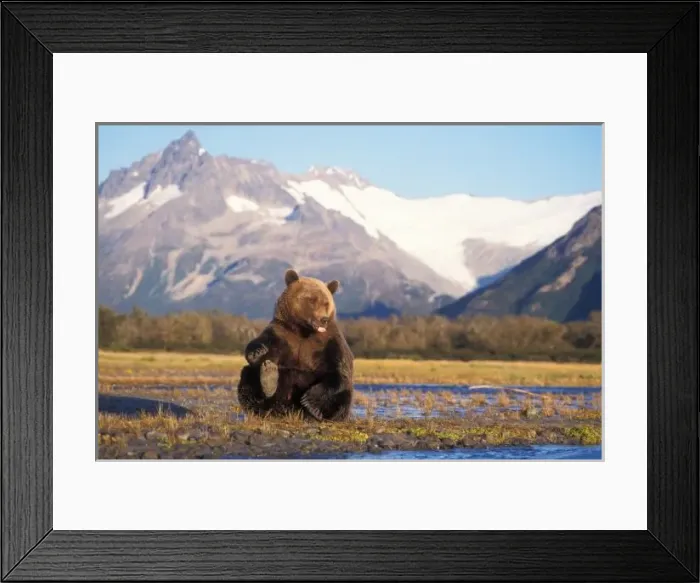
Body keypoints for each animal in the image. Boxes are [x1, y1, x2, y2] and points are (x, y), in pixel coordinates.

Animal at [236, 268, 355, 422]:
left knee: (343, 395)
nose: (323, 319)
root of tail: (290, 410)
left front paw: (310, 401)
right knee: (248, 377)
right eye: (311, 300)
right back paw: (268, 383)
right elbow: (262, 345)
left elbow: (339, 370)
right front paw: (258, 352)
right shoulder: (282, 333)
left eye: (326, 303)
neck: (302, 330)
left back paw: (316, 412)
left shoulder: (328, 340)